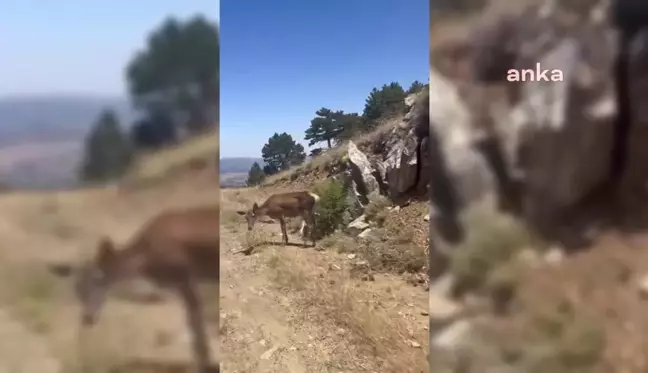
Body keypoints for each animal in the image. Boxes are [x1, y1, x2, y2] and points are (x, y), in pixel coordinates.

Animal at [73, 206, 220, 372]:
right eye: (78, 289)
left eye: (99, 280)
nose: (88, 318)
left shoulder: (185, 279)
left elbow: (195, 323)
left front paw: (204, 365)